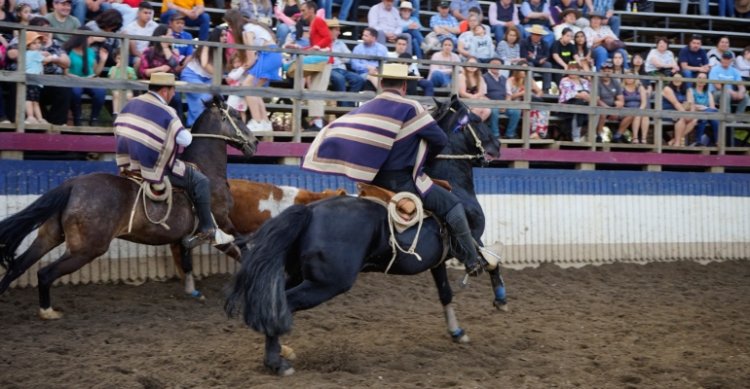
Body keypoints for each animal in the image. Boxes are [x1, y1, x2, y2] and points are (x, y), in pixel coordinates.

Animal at [223, 95, 506, 374]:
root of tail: (311, 212)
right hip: (328, 283)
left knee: (275, 300)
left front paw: (457, 331)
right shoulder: (471, 241)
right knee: (284, 304)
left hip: (300, 274)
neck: (454, 185)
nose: (497, 146)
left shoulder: (438, 261)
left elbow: (445, 292)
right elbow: (492, 262)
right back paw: (277, 362)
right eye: (478, 119)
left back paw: (281, 352)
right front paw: (500, 299)